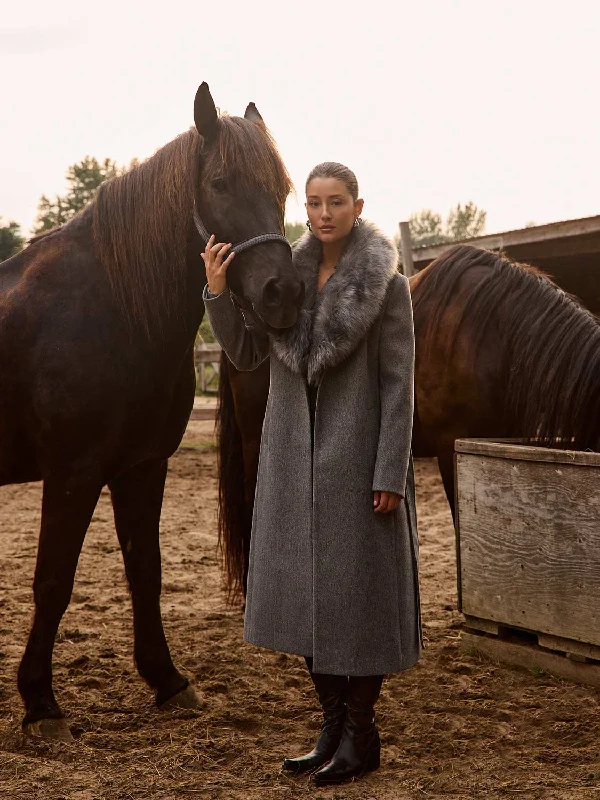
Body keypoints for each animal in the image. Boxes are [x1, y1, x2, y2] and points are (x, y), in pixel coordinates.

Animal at [0, 81, 300, 736]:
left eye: (284, 190)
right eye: (219, 183)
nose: (283, 294)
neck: (115, 308)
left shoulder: (142, 467)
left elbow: (146, 570)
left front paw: (167, 679)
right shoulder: (73, 473)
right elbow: (53, 579)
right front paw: (40, 703)